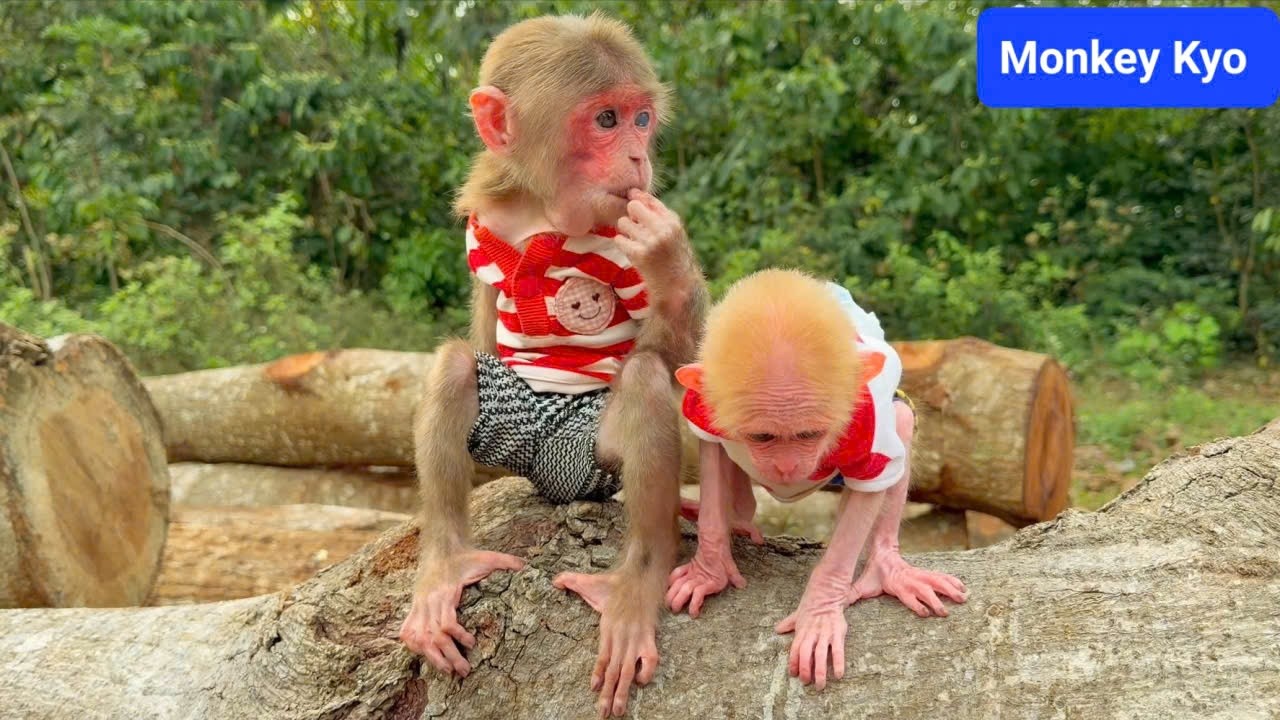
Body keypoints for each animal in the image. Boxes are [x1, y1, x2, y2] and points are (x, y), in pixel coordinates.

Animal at [398, 14, 707, 718]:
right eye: (607, 120)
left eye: (643, 119)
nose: (638, 157)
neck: (552, 215)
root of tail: (549, 471)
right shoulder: (486, 221)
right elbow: (481, 330)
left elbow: (672, 358)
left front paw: (667, 253)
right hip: (517, 446)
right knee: (454, 365)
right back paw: (447, 564)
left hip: (587, 462)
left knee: (643, 382)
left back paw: (638, 582)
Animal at [667, 269, 967, 690]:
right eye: (763, 436)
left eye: (810, 434)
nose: (787, 468)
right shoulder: (706, 404)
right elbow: (710, 449)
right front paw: (708, 568)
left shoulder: (863, 419)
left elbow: (870, 487)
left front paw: (821, 611)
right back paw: (738, 516)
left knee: (902, 422)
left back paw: (887, 567)